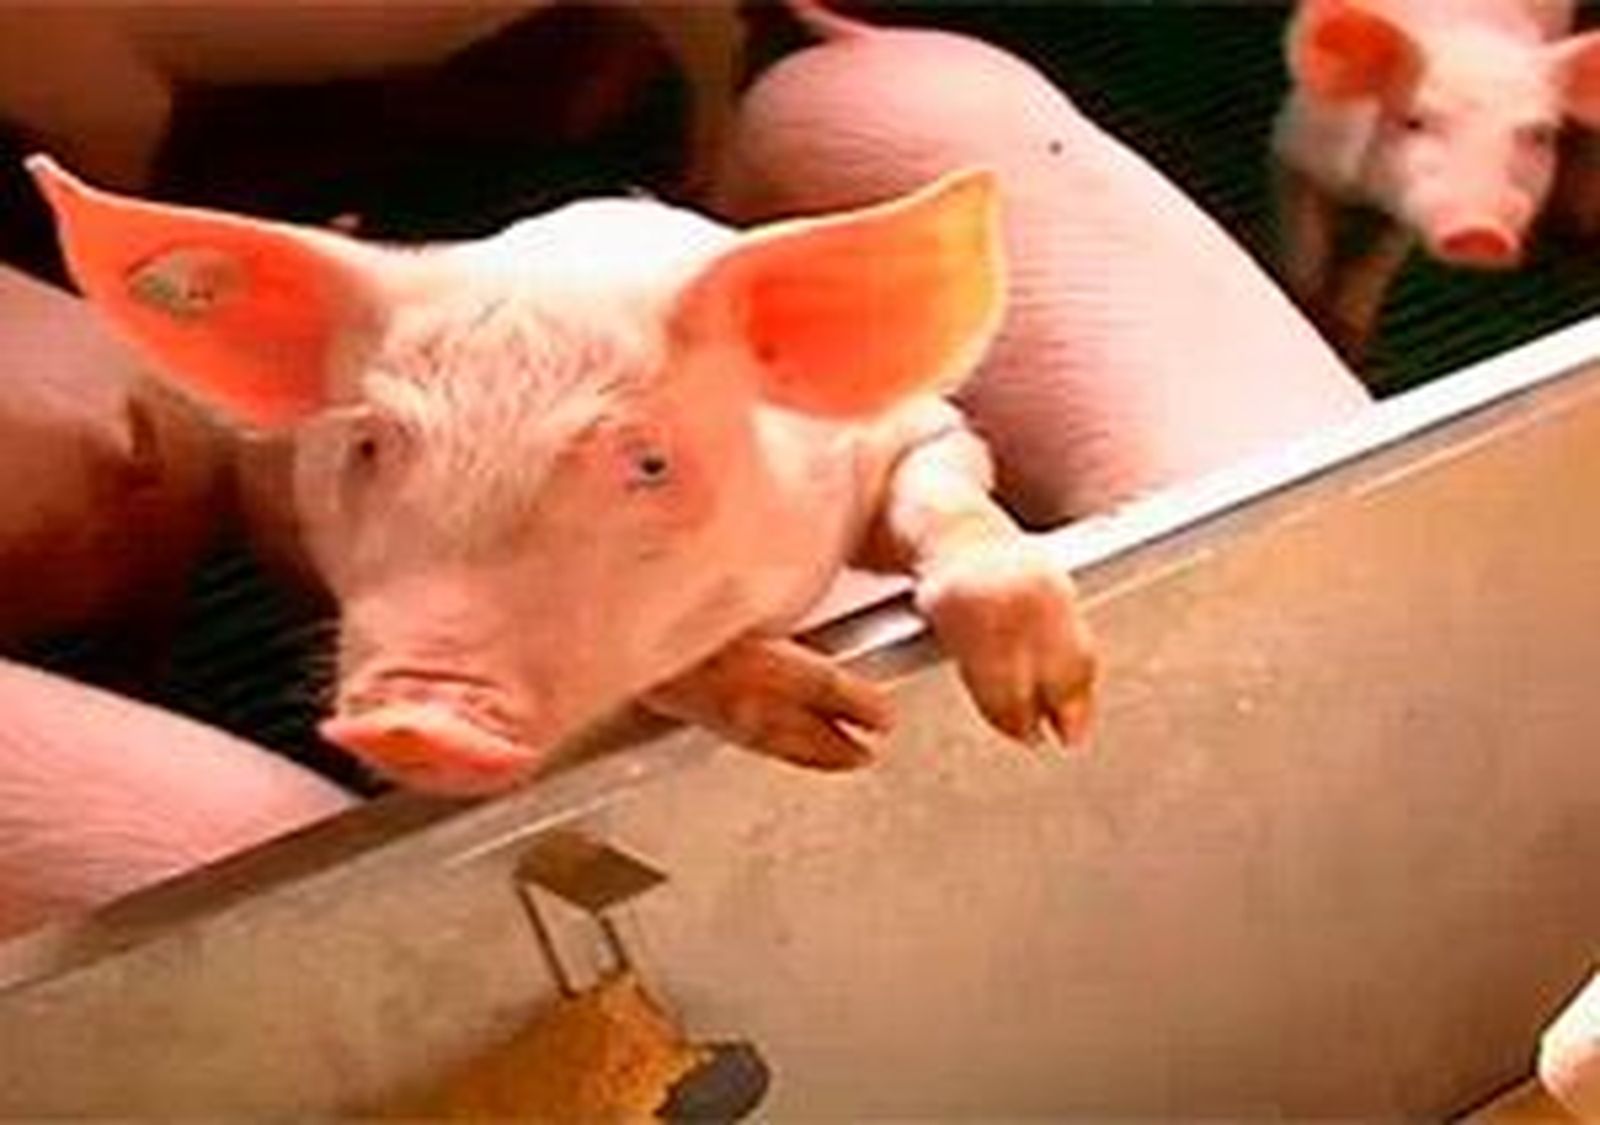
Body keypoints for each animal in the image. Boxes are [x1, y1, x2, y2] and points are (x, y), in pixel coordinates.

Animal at [30, 155, 1098, 799]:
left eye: (650, 461)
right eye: (369, 446)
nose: (415, 714)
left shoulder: (898, 431)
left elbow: (951, 489)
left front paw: (1049, 714)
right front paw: (839, 731)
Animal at [1272, 0, 1600, 364]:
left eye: (1540, 134)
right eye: (1415, 121)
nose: (1481, 233)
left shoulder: (1409, 214)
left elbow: (1381, 259)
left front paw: (1351, 346)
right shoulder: (1294, 148)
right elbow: (1305, 247)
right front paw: (1310, 318)